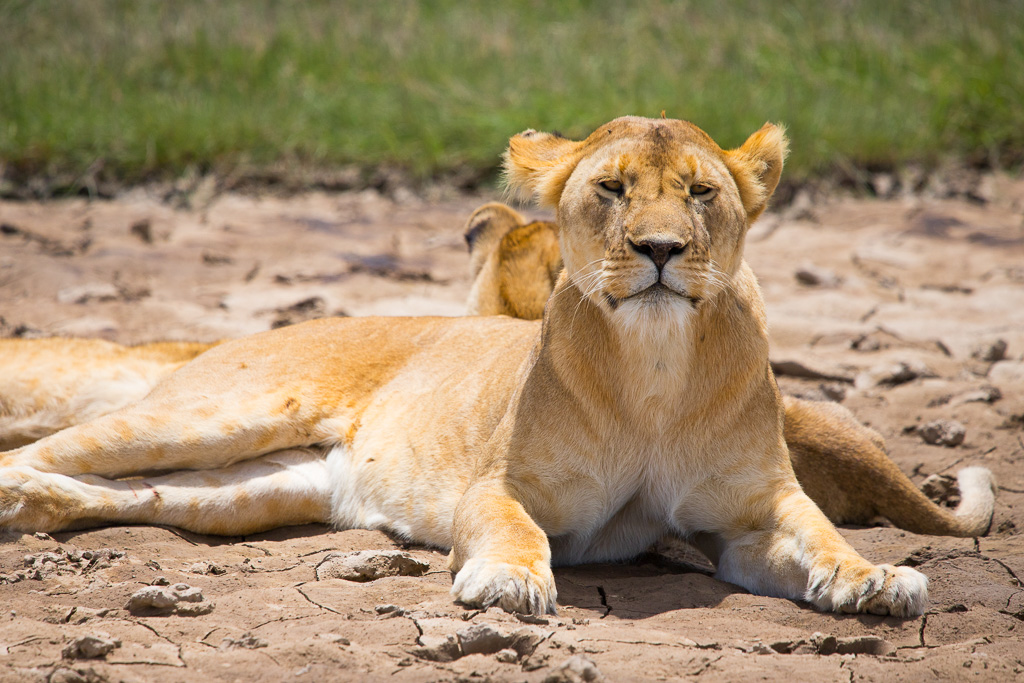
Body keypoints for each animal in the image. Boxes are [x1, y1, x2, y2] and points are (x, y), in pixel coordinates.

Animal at [0, 117, 991, 618]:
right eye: (612, 188)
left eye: (701, 192)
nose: (661, 248)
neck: (656, 366)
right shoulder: (499, 485)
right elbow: (517, 530)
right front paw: (511, 582)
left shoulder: (755, 513)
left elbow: (821, 534)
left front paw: (874, 581)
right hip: (213, 413)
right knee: (47, 447)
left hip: (248, 489)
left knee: (123, 493)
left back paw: (31, 509)